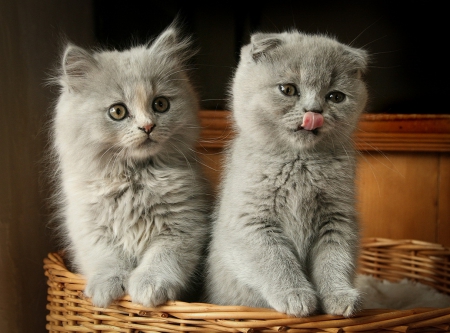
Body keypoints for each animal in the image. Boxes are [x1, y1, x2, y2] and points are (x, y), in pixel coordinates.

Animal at [49, 20, 211, 308]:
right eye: (117, 111)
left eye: (160, 104)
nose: (147, 126)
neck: (134, 177)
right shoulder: (92, 229)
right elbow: (107, 259)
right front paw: (105, 289)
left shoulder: (183, 225)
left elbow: (162, 259)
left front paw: (148, 288)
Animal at [206, 30, 368, 316]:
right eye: (288, 89)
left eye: (335, 97)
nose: (314, 111)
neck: (299, 162)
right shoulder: (250, 221)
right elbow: (276, 260)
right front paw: (296, 296)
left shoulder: (337, 219)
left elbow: (335, 259)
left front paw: (340, 296)